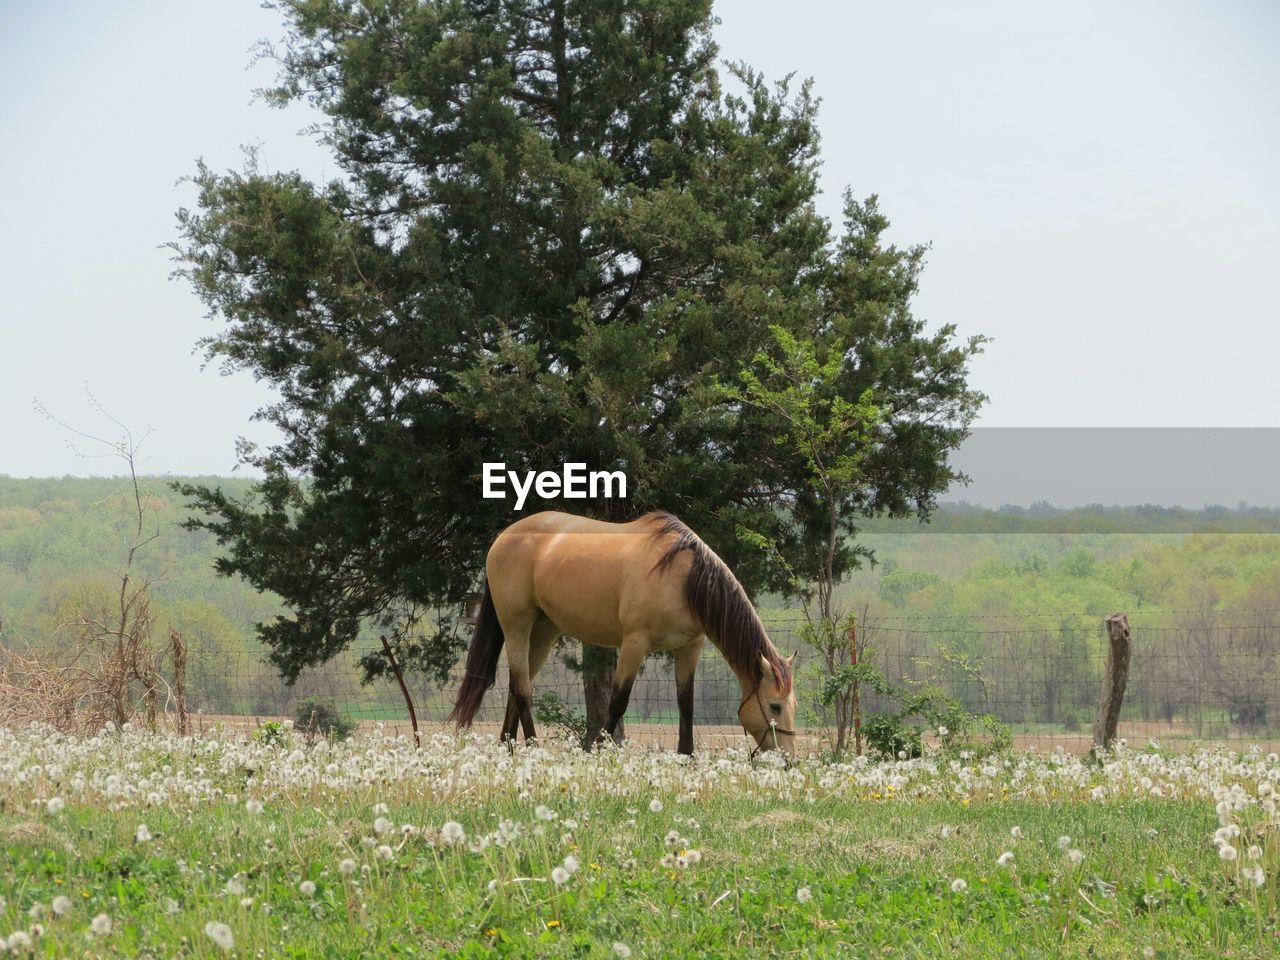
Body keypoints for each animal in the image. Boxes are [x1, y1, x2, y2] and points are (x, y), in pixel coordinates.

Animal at [445, 514, 793, 757]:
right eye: (775, 706)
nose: (789, 759)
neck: (684, 579)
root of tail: (502, 538)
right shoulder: (634, 643)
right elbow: (617, 702)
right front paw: (594, 751)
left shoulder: (689, 648)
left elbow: (686, 704)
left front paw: (687, 757)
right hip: (516, 625)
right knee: (522, 689)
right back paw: (532, 746)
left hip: (544, 631)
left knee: (518, 687)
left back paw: (508, 747)